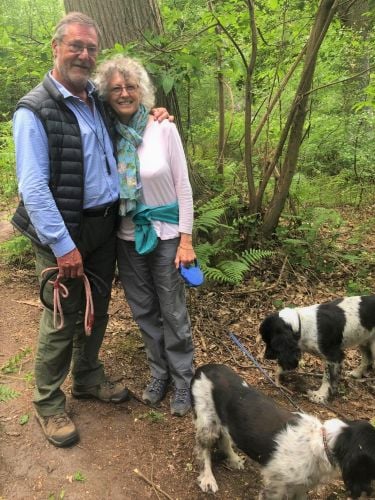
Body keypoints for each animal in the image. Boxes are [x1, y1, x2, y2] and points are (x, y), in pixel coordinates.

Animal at [192, 364, 375, 500]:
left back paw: (234, 459)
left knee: (224, 438)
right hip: (207, 424)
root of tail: (203, 368)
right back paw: (208, 478)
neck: (322, 443)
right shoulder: (275, 488)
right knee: (203, 451)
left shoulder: (300, 488)